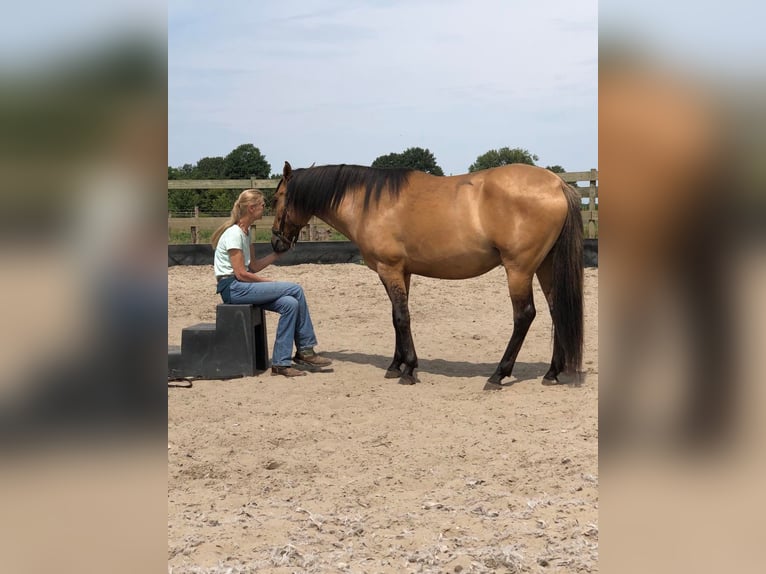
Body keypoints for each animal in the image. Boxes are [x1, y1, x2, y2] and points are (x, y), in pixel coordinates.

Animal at [272, 160, 584, 390]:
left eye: (277, 198)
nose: (276, 242)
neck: (369, 203)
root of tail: (557, 183)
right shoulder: (402, 272)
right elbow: (397, 317)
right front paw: (395, 365)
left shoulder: (389, 269)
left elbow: (402, 317)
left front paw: (409, 369)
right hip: (545, 266)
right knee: (557, 310)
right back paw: (552, 373)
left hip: (518, 269)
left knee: (524, 315)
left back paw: (498, 375)